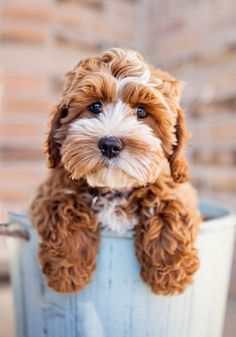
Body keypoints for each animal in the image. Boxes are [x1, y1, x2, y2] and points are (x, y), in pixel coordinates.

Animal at [30, 48, 201, 294]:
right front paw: (68, 270)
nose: (110, 144)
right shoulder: (50, 191)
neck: (113, 188)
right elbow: (63, 205)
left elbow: (173, 208)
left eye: (141, 111)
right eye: (95, 107)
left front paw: (169, 274)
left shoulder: (175, 188)